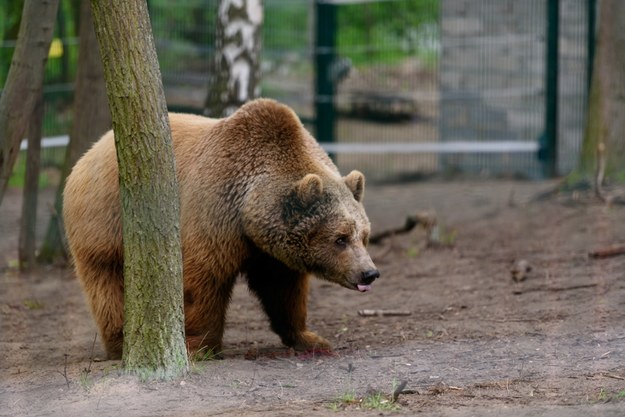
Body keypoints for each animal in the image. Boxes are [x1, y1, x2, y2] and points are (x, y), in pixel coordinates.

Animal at [63, 96, 378, 358]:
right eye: (340, 238)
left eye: (364, 236)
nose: (369, 273)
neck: (248, 212)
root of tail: (92, 150)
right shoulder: (214, 215)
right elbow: (203, 281)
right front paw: (201, 345)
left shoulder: (272, 251)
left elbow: (284, 289)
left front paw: (310, 337)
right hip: (106, 221)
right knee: (107, 282)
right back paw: (120, 341)